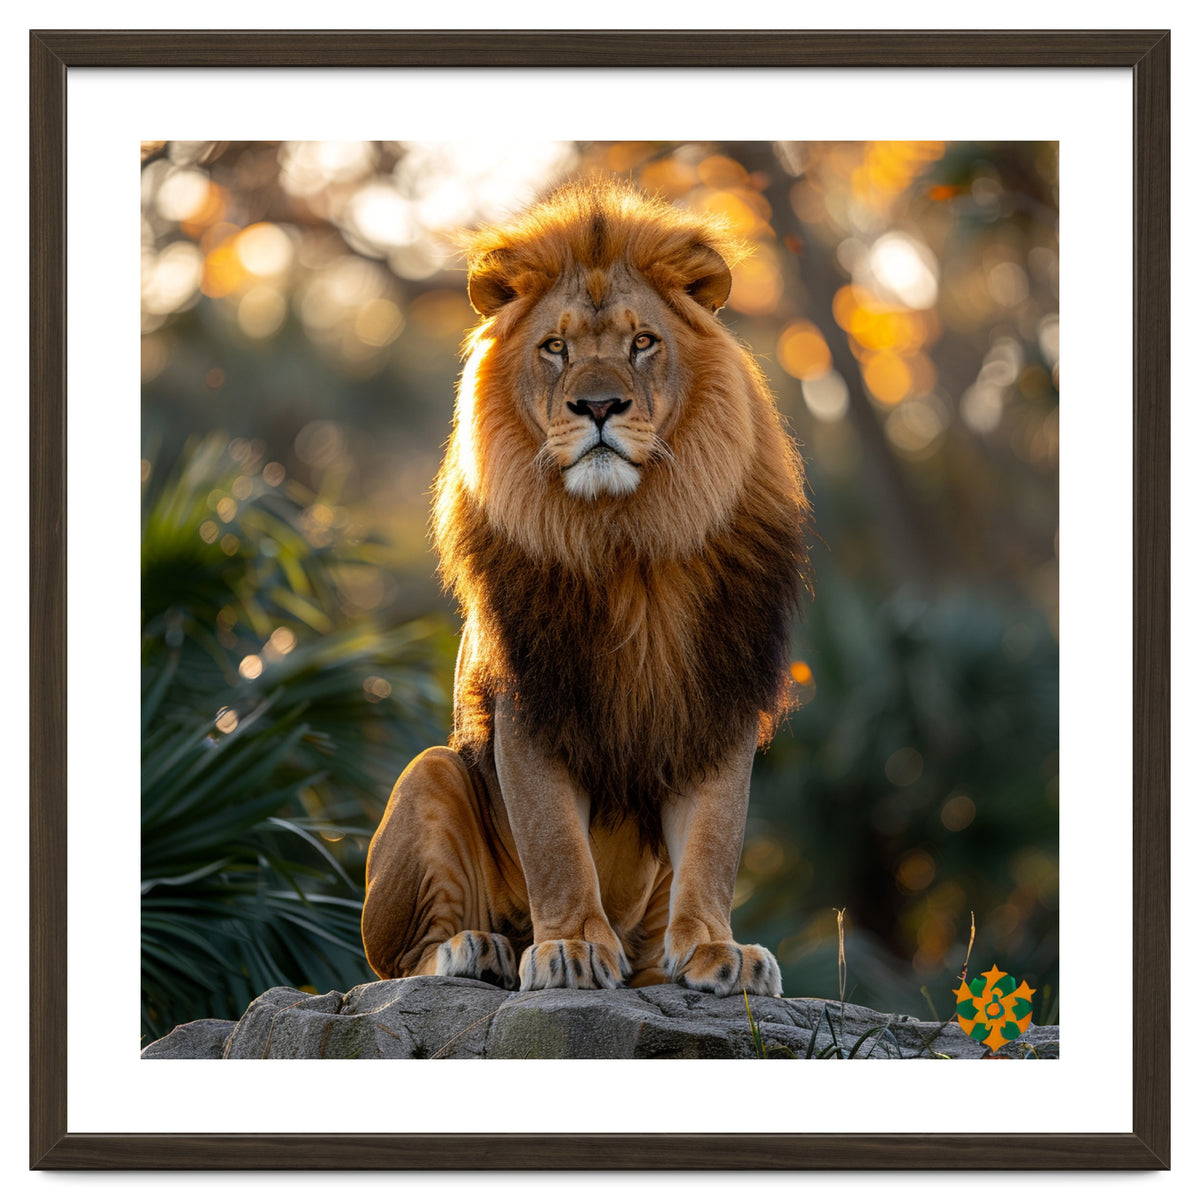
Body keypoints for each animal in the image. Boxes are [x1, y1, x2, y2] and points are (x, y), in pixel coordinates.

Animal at [361, 179, 810, 998]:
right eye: (555, 348)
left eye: (642, 343)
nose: (599, 407)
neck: (626, 539)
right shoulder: (531, 701)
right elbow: (556, 845)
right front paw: (568, 946)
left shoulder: (716, 699)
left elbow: (713, 842)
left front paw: (716, 951)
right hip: (430, 774)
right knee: (399, 962)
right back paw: (479, 949)